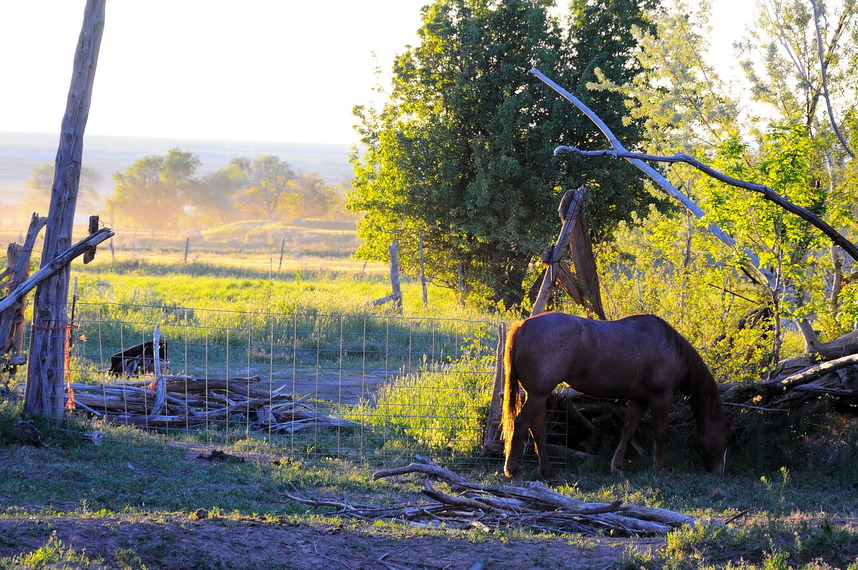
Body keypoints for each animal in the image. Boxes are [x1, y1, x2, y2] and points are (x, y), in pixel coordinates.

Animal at [502, 310, 728, 480]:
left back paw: (548, 472)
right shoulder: (661, 398)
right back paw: (513, 471)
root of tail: (525, 325)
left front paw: (617, 468)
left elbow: (628, 432)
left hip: (538, 395)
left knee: (536, 429)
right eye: (721, 436)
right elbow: (660, 434)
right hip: (538, 395)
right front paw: (660, 467)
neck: (670, 348)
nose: (719, 471)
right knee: (521, 423)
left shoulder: (639, 400)